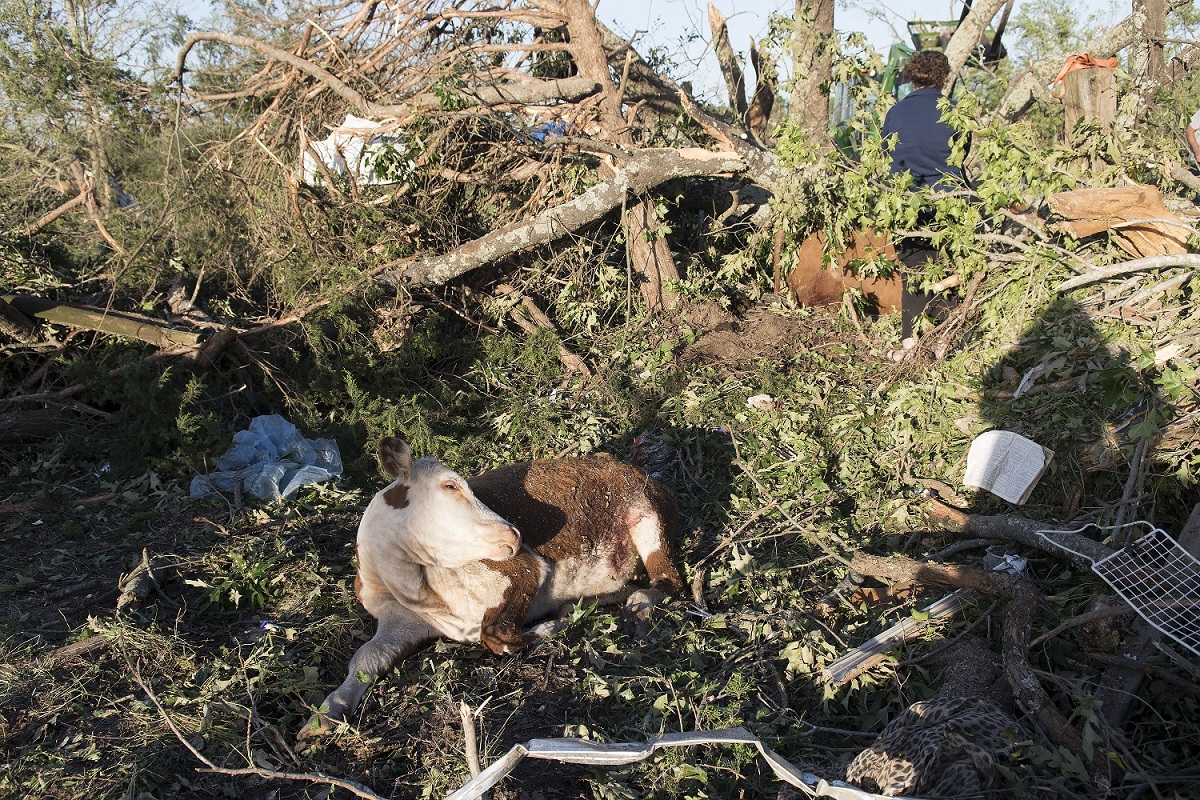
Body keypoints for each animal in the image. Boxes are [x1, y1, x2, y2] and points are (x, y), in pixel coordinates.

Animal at [304, 438, 686, 738]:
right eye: (450, 486)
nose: (514, 533)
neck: (419, 589)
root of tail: (628, 466)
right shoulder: (402, 617)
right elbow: (368, 655)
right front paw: (325, 713)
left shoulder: (525, 566)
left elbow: (498, 637)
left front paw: (551, 625)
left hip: (646, 515)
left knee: (669, 582)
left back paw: (637, 606)